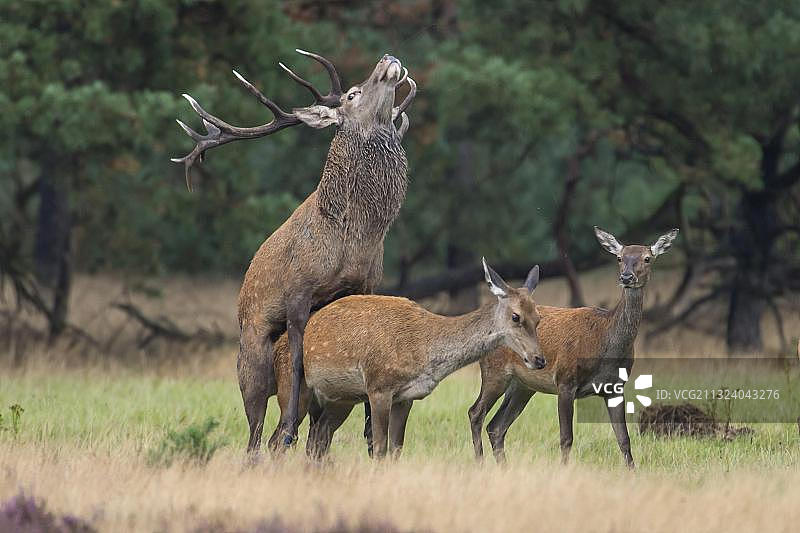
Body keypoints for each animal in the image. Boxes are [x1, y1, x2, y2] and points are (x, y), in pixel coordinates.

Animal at [172, 50, 417, 452]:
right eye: (352, 94)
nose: (388, 58)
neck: (354, 236)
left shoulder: (366, 284)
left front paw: (369, 429)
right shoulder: (298, 291)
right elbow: (299, 356)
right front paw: (288, 425)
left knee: (310, 434)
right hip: (251, 363)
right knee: (255, 436)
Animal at [264, 259, 546, 459]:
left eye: (538, 317)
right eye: (516, 316)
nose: (539, 359)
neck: (423, 351)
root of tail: (277, 346)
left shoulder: (406, 397)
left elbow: (396, 449)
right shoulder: (379, 387)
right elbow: (379, 448)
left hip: (338, 399)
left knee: (317, 439)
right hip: (292, 387)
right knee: (279, 439)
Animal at [467, 227, 679, 469]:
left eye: (647, 258)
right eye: (619, 257)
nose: (626, 277)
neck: (605, 344)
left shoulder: (615, 387)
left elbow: (624, 439)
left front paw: (632, 473)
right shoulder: (565, 380)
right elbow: (566, 438)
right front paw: (563, 471)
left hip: (523, 385)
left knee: (496, 426)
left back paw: (503, 468)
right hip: (495, 371)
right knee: (476, 413)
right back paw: (480, 463)